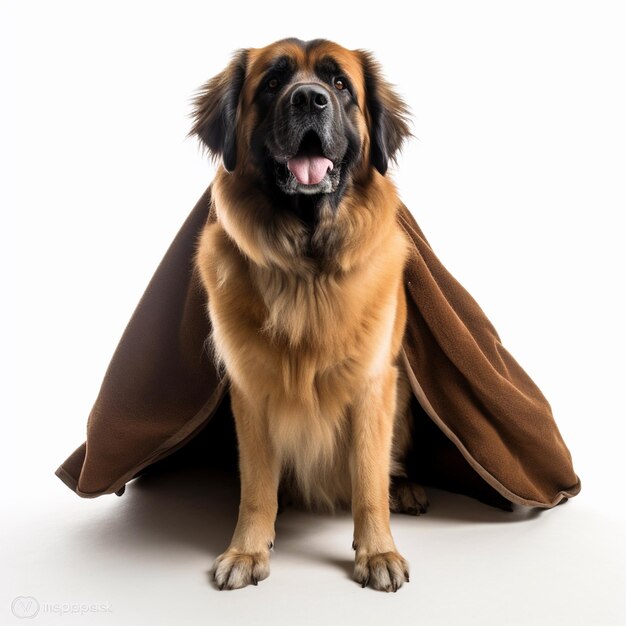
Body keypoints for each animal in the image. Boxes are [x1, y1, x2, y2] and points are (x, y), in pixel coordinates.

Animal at [190, 37, 426, 588]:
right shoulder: (250, 389)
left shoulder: (374, 385)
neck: (306, 271)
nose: (309, 100)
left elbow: (369, 479)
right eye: (273, 82)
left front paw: (378, 552)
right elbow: (257, 486)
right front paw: (247, 549)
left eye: (339, 84)